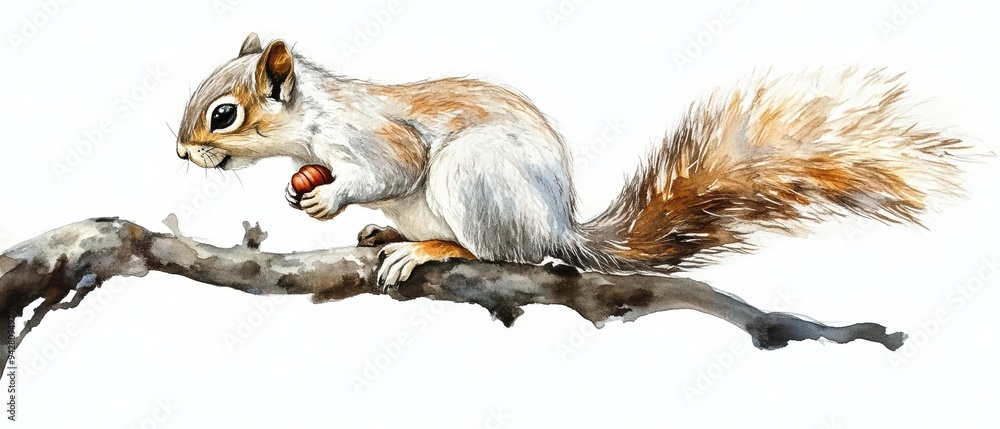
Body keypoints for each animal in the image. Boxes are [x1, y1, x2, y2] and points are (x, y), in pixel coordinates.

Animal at [175, 33, 972, 287]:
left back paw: (429, 247)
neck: (314, 117)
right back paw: (390, 231)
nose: (182, 150)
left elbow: (391, 167)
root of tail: (558, 227)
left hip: (475, 179)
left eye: (224, 114)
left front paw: (328, 196)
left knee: (503, 254)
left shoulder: (375, 135)